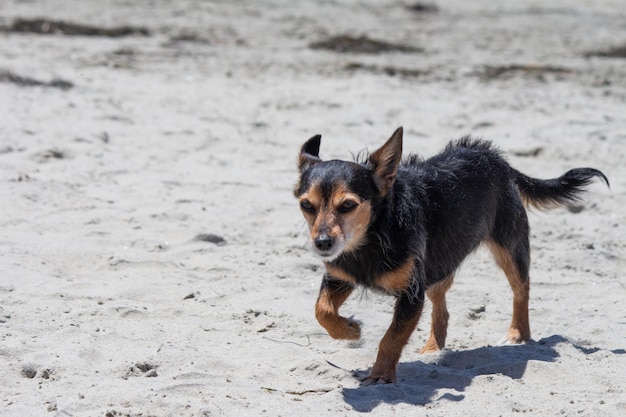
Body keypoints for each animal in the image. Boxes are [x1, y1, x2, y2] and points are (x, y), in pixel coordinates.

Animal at [294, 126, 608, 384]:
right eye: (306, 205)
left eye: (348, 205)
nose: (322, 243)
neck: (371, 237)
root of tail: (494, 157)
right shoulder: (340, 277)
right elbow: (322, 310)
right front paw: (350, 330)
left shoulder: (412, 294)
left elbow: (391, 337)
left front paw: (381, 375)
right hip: (439, 264)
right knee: (442, 306)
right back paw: (434, 347)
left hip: (509, 250)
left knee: (522, 288)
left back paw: (518, 333)